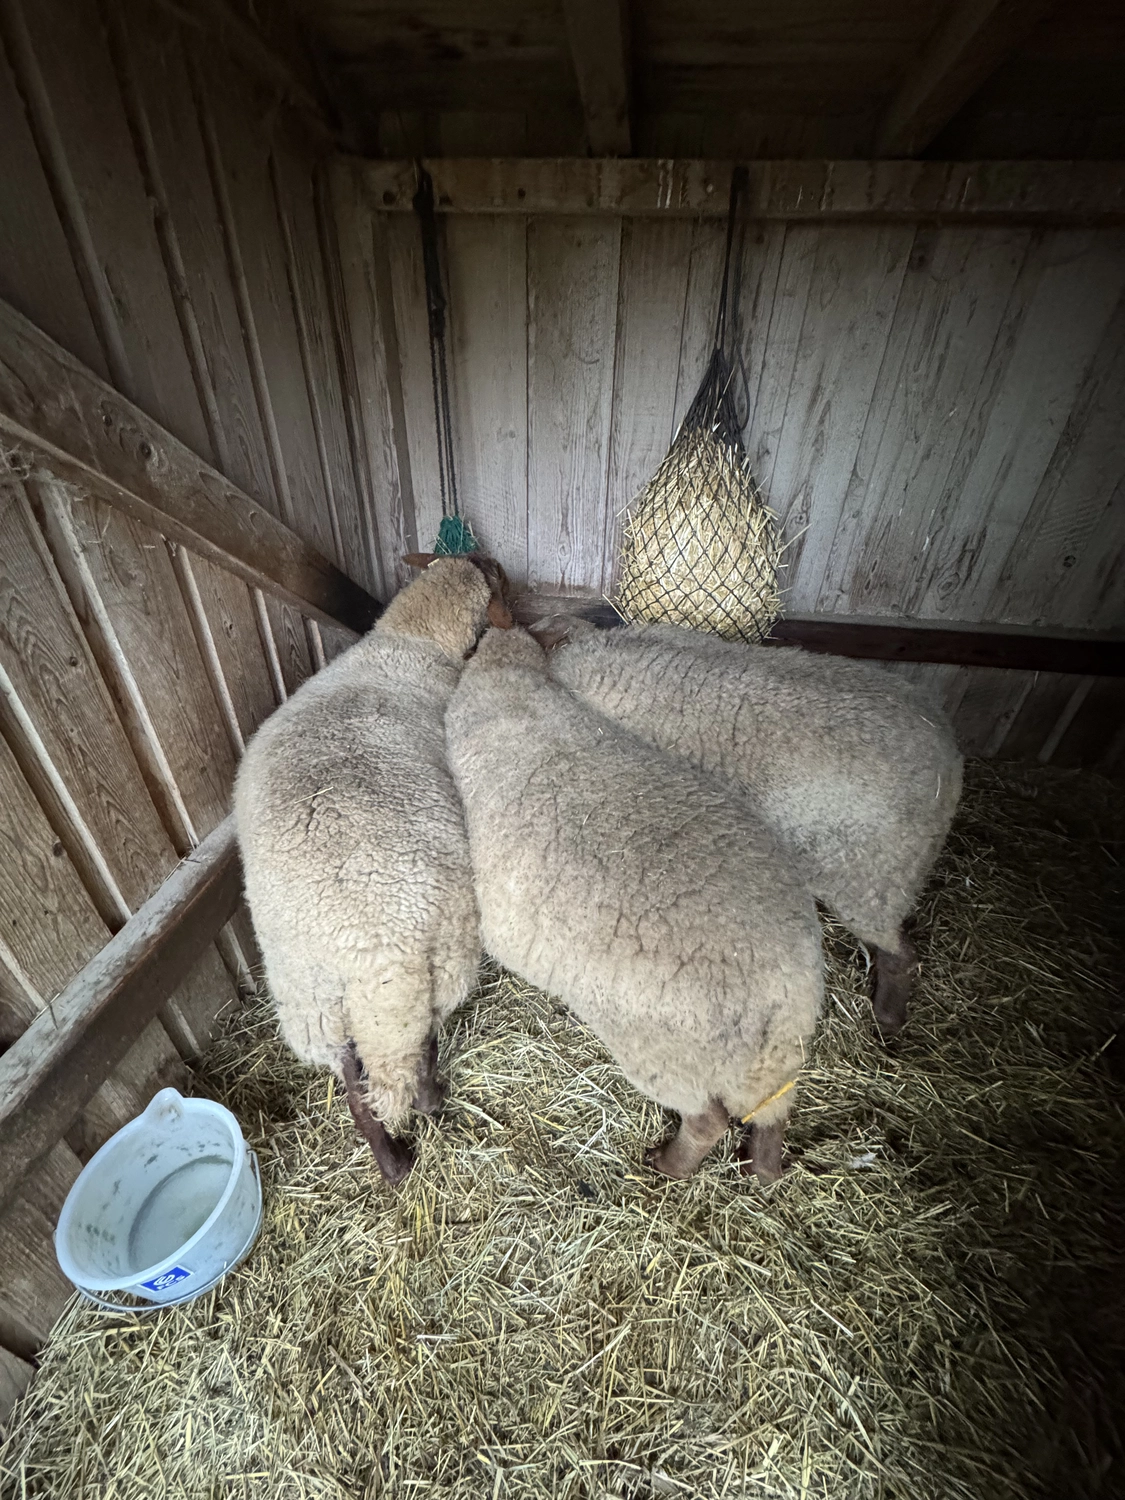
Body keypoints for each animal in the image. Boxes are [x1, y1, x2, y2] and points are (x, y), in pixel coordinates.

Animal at [234, 554, 511, 1184]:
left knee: (355, 1086)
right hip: (427, 971)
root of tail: (353, 948)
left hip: (313, 999)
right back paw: (430, 1105)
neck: (411, 639)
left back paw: (392, 1163)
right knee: (417, 1053)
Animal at [445, 624, 825, 1182]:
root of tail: (787, 990)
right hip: (770, 1067)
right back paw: (763, 1166)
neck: (509, 684)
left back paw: (668, 1165)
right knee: (772, 1116)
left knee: (708, 1119)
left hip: (668, 1055)